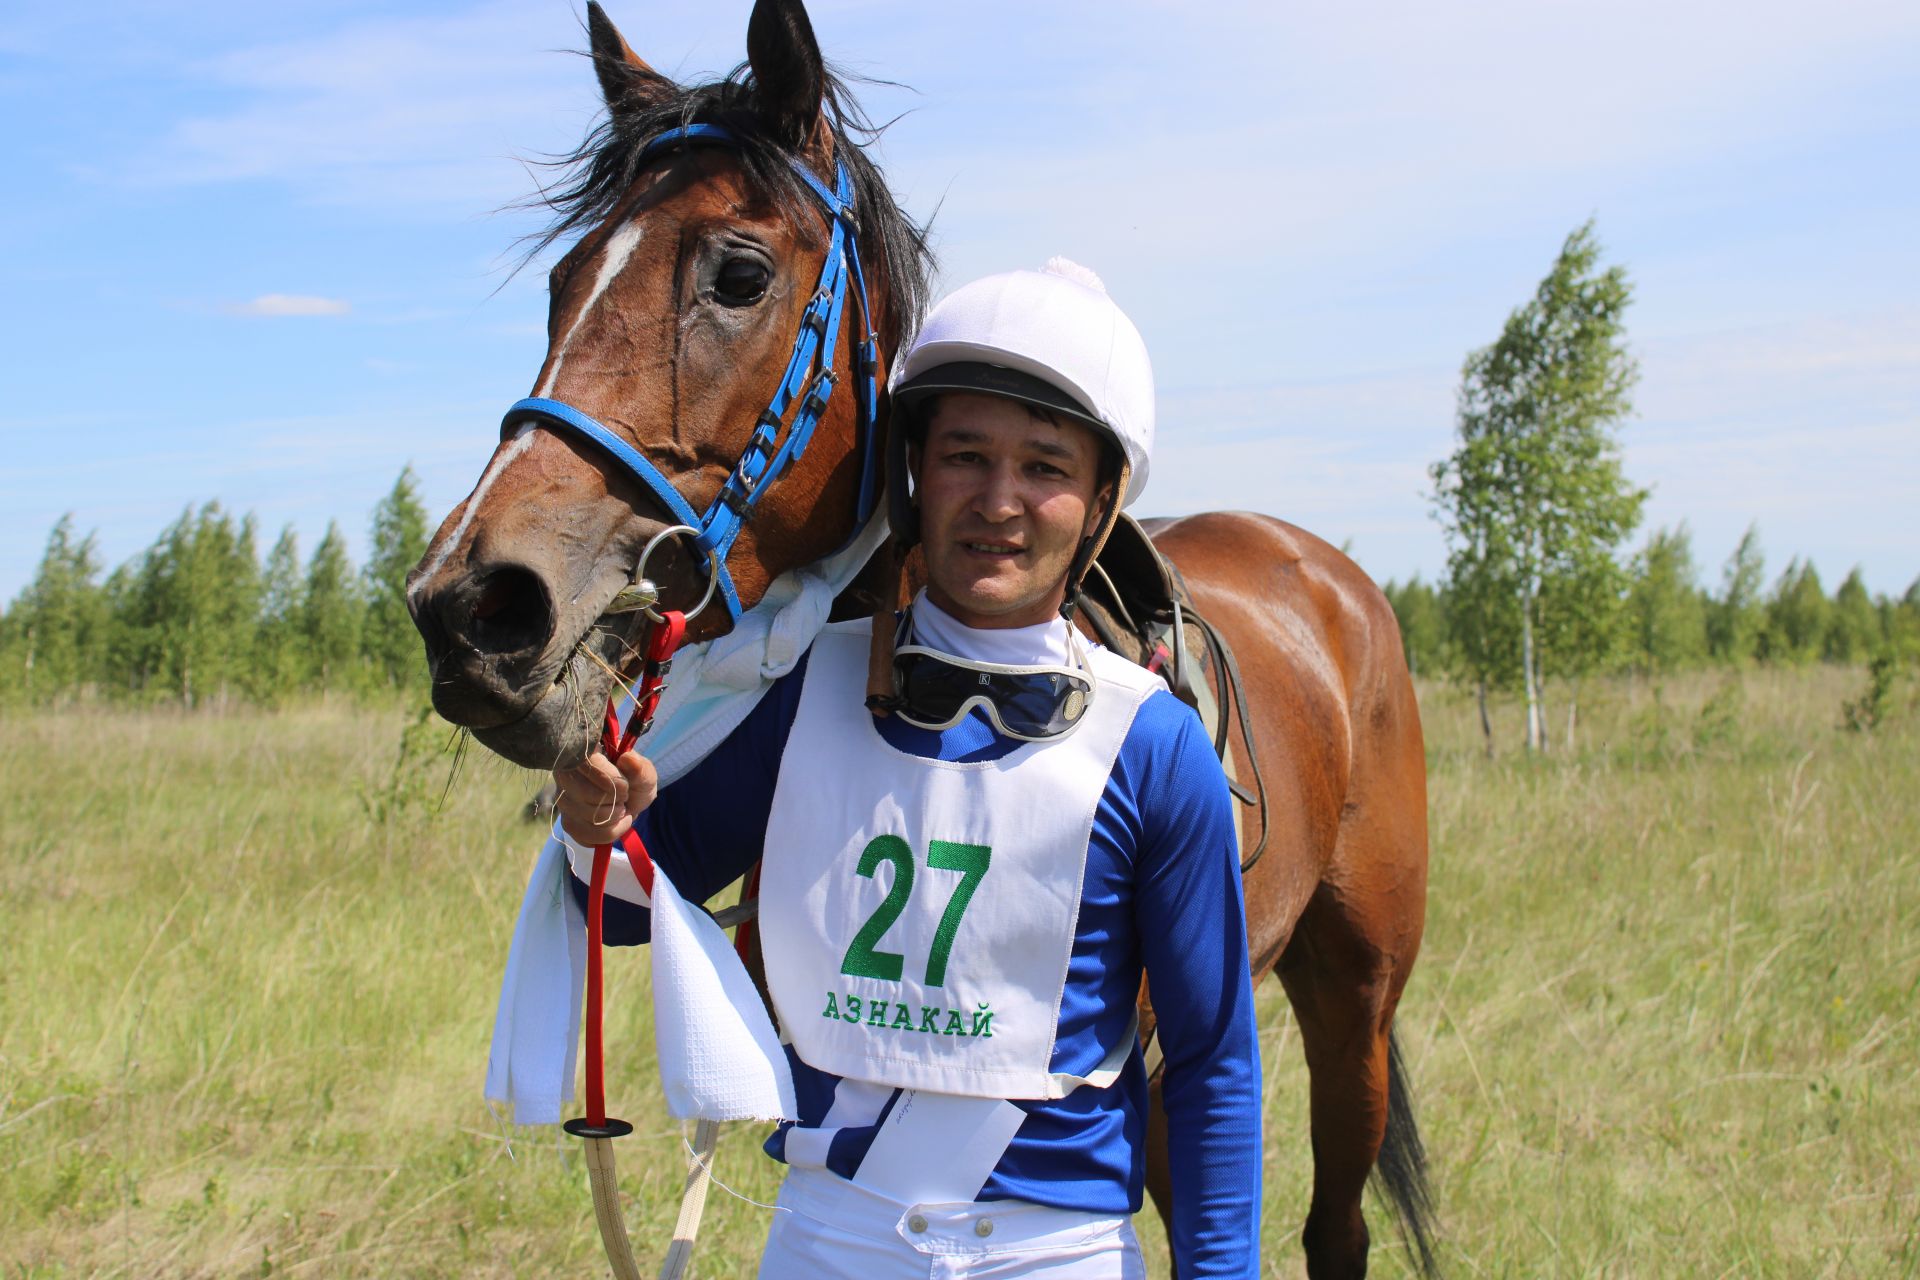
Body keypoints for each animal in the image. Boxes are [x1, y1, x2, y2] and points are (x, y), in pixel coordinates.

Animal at [405, 5, 1436, 1274]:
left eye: (736, 274)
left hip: (1354, 1003)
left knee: (1334, 1221)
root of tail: (1328, 574)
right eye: (562, 281)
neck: (958, 681)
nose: (473, 604)